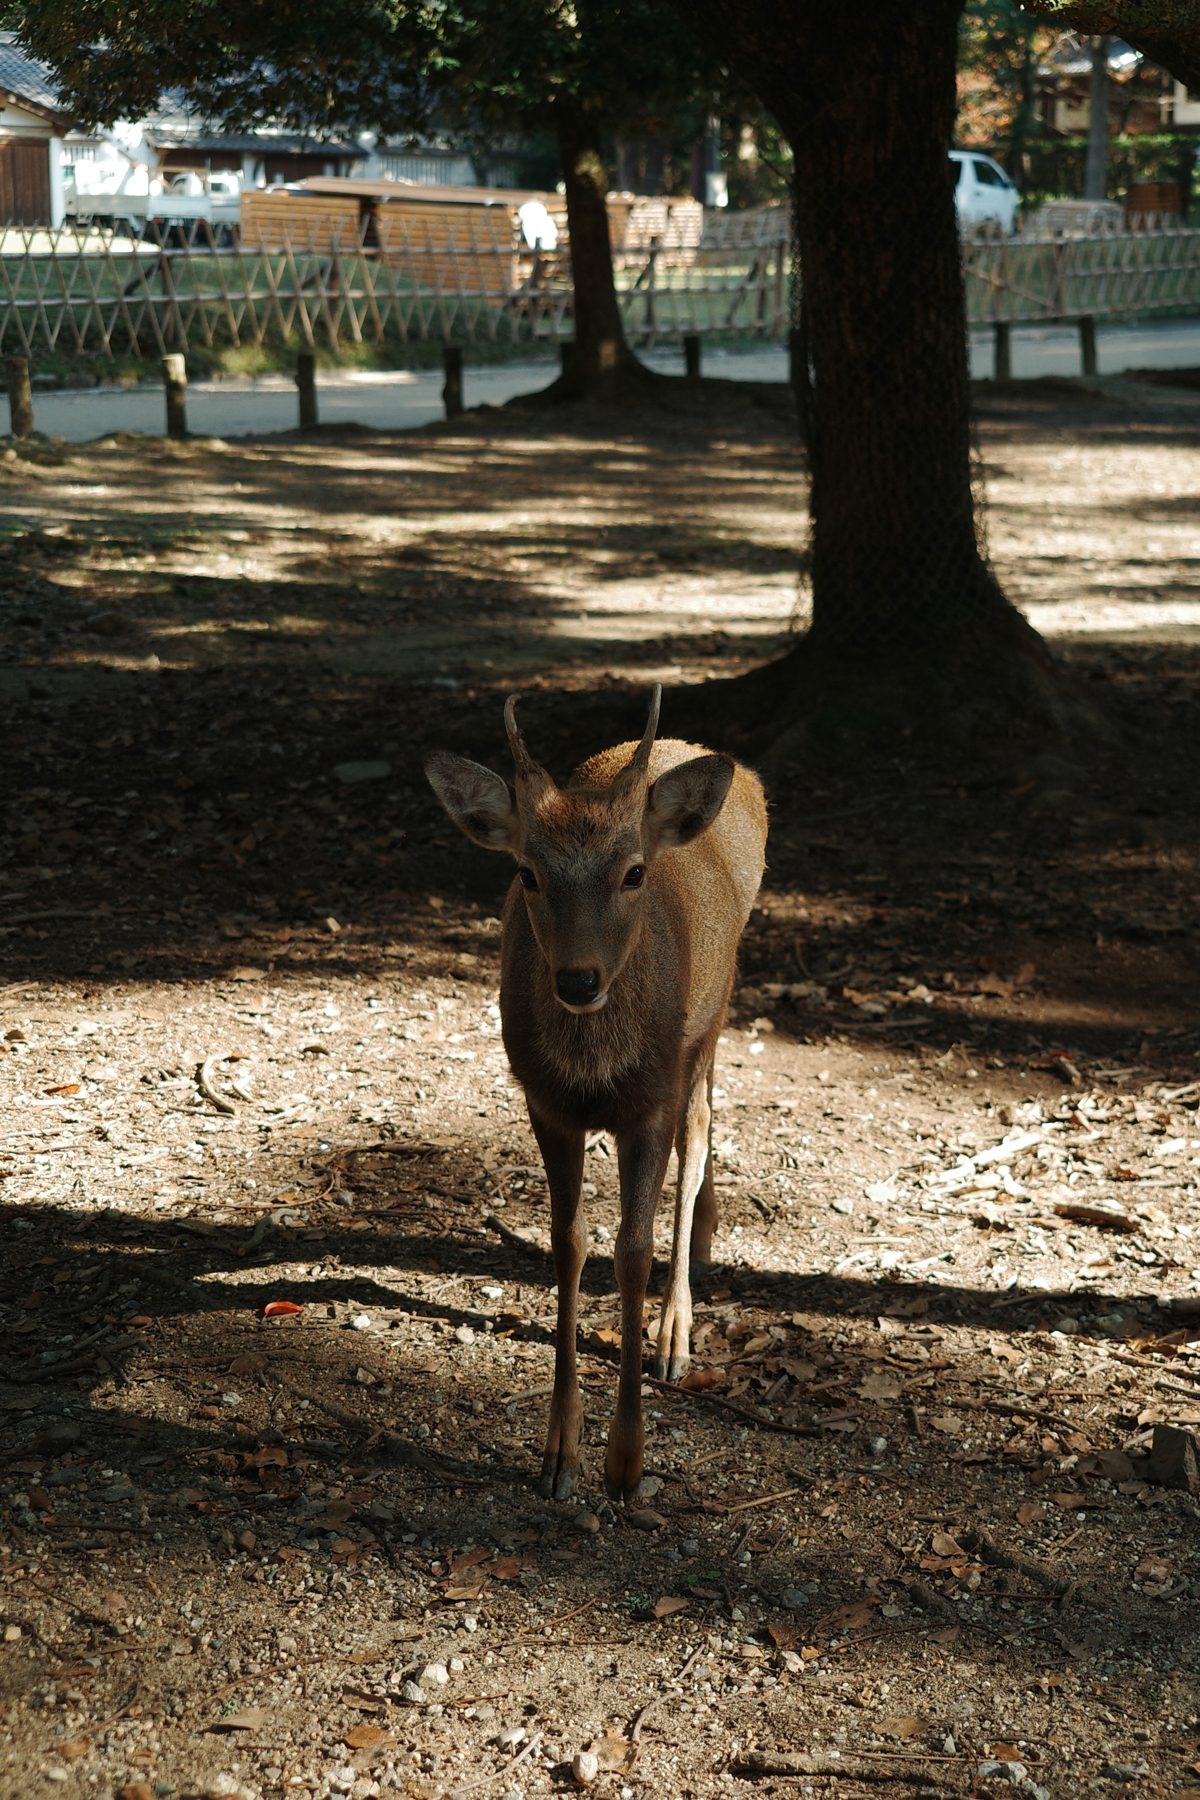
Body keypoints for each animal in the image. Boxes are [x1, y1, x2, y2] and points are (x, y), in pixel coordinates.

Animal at [424, 687, 767, 1504]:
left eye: (634, 872)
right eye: (526, 872)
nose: (578, 980)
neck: (595, 1072)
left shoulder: (651, 1099)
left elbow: (633, 1252)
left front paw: (626, 1461)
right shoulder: (544, 1101)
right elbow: (568, 1244)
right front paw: (559, 1452)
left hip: (715, 1013)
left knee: (700, 1132)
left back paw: (676, 1331)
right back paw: (707, 1237)